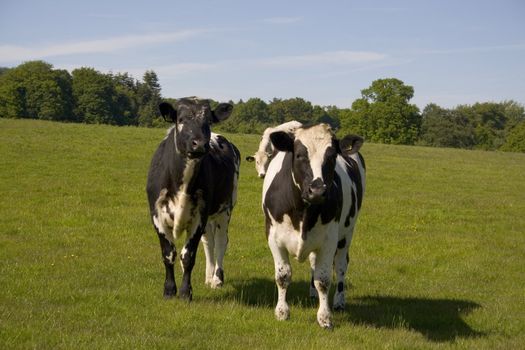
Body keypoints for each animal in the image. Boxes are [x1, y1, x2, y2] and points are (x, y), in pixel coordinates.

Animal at [145, 97, 239, 300]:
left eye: (208, 121)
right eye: (181, 119)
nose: (200, 144)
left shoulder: (199, 217)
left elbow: (188, 256)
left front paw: (185, 292)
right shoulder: (157, 216)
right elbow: (169, 254)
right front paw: (169, 290)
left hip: (225, 209)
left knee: (220, 242)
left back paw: (217, 279)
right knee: (209, 242)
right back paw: (208, 277)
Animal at [260, 122, 364, 328]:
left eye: (332, 156)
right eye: (299, 155)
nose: (317, 190)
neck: (303, 212)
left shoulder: (329, 240)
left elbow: (323, 279)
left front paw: (325, 317)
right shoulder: (273, 237)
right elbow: (283, 276)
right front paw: (282, 312)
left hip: (347, 233)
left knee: (341, 266)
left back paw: (339, 301)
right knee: (314, 262)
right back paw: (312, 293)